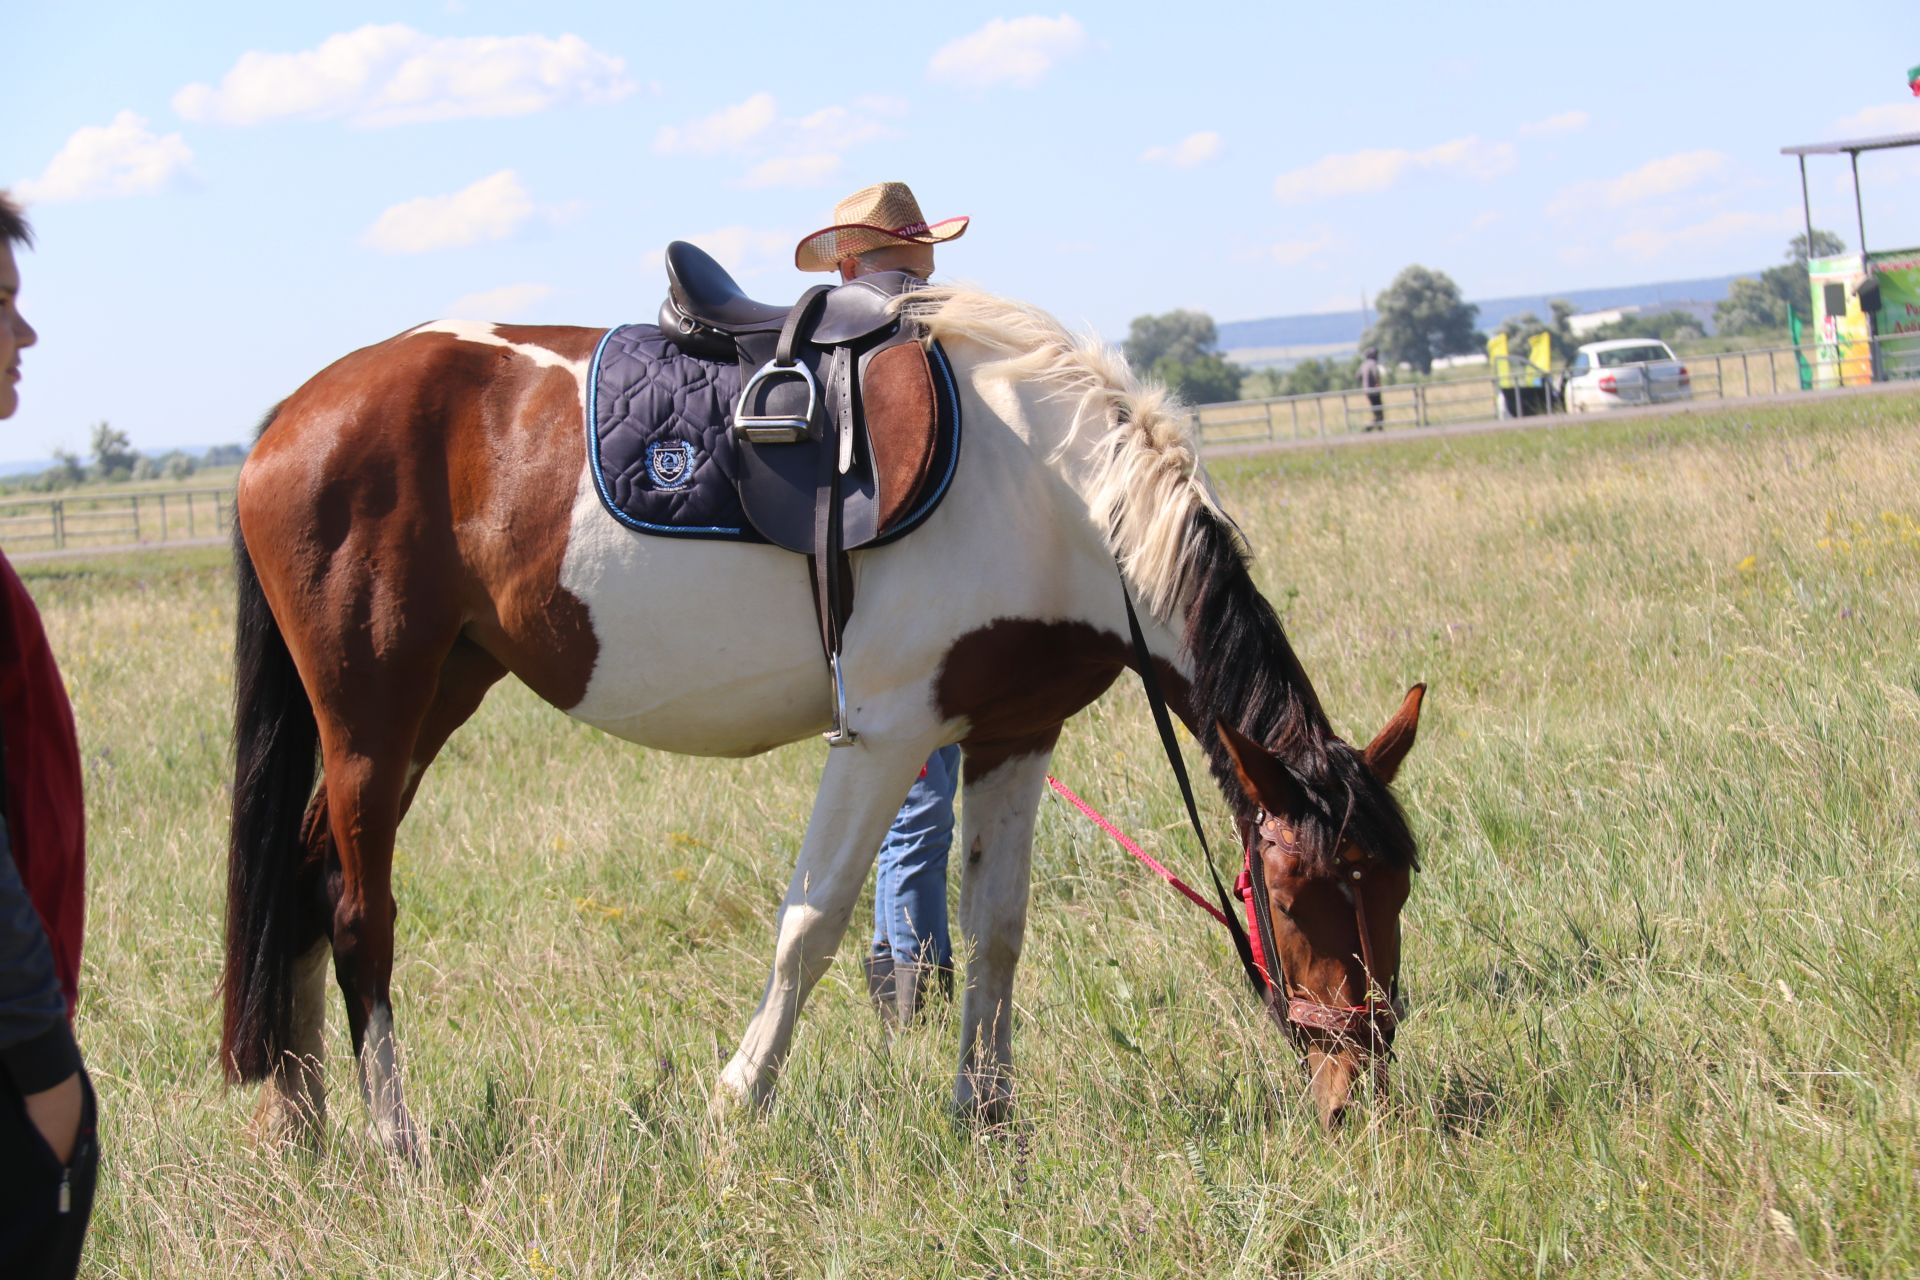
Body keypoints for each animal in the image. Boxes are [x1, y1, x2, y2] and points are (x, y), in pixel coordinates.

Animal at [224, 293, 1428, 1159]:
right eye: (1291, 894)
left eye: (1394, 890)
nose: (1359, 1094)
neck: (1052, 493)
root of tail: (290, 415)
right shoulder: (889, 731)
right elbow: (811, 923)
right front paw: (736, 1100)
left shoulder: (1013, 732)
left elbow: (996, 927)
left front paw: (985, 1116)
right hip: (372, 712)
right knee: (359, 911)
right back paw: (395, 1139)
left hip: (437, 693)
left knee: (306, 877)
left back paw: (299, 1122)